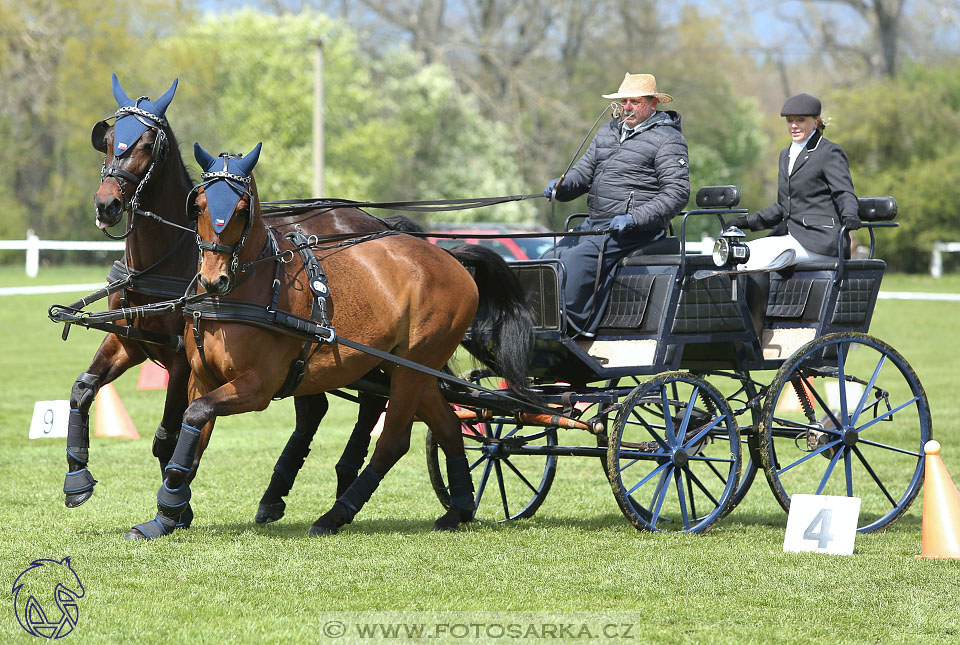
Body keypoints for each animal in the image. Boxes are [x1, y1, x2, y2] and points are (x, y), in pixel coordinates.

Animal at [124, 142, 536, 540]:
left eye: (242, 209)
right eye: (198, 207)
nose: (214, 279)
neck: (246, 291)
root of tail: (448, 255)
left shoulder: (257, 388)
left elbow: (194, 417)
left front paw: (173, 505)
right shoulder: (202, 379)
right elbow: (192, 439)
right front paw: (167, 515)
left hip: (413, 367)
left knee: (392, 441)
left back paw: (335, 514)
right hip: (412, 368)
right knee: (448, 427)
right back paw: (459, 509)